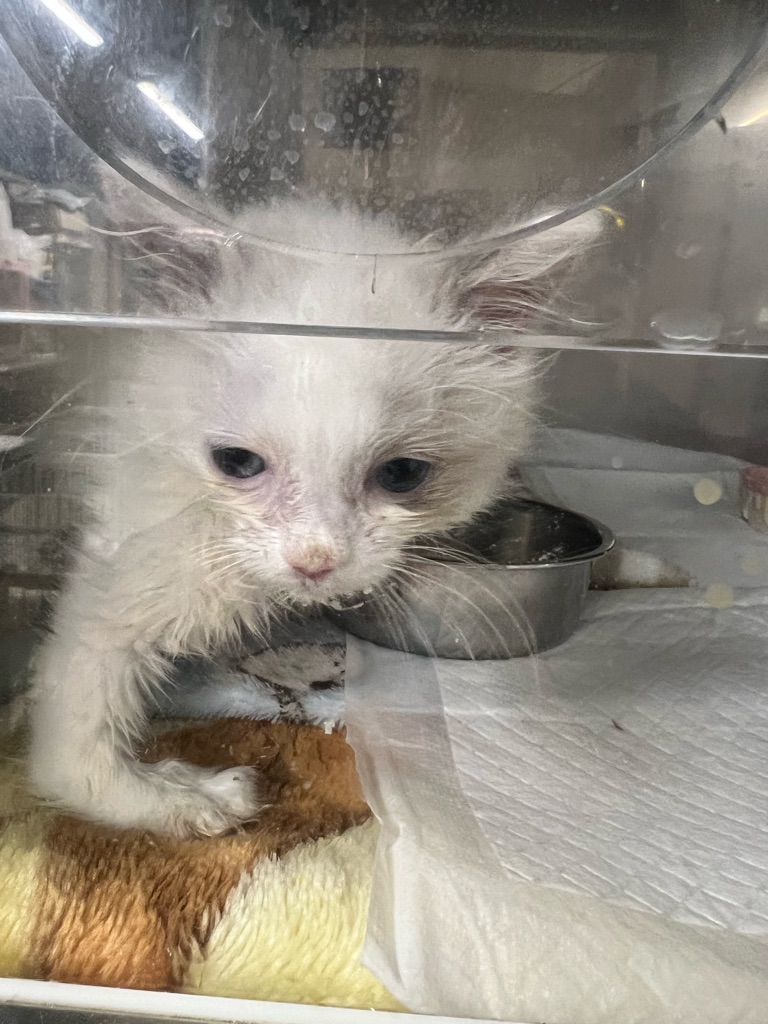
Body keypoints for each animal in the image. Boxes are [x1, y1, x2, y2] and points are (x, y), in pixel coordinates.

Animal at [27, 199, 599, 837]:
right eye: (237, 463)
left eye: (402, 473)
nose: (315, 561)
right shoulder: (138, 532)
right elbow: (71, 745)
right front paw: (171, 797)